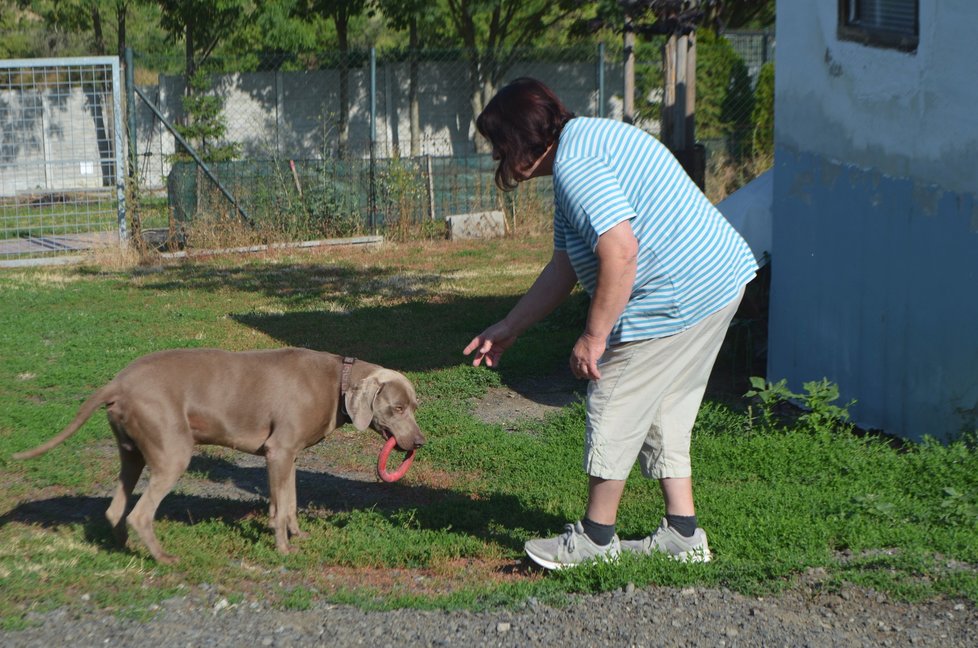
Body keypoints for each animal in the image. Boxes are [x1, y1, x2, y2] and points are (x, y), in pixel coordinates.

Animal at [11, 346, 424, 564]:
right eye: (398, 408)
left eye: (414, 406)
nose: (419, 442)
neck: (338, 380)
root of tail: (118, 382)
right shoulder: (278, 451)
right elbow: (280, 507)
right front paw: (282, 547)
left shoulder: (288, 455)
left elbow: (289, 502)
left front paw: (297, 534)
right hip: (173, 451)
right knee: (139, 514)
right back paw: (163, 558)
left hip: (132, 451)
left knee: (116, 509)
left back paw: (123, 550)